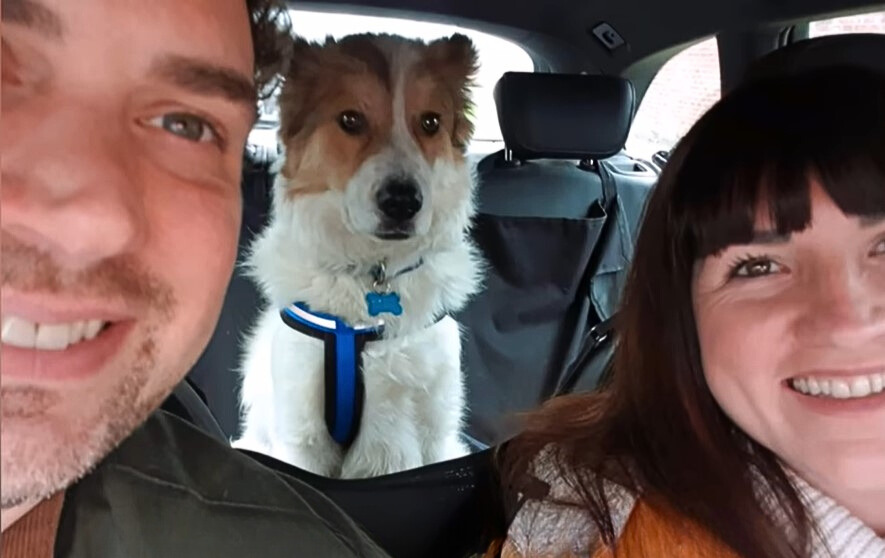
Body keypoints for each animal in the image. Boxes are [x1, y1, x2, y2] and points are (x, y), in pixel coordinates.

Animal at [231, 31, 484, 482]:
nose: (402, 202)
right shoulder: (302, 436)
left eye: (431, 122)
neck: (374, 276)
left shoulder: (429, 432)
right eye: (350, 120)